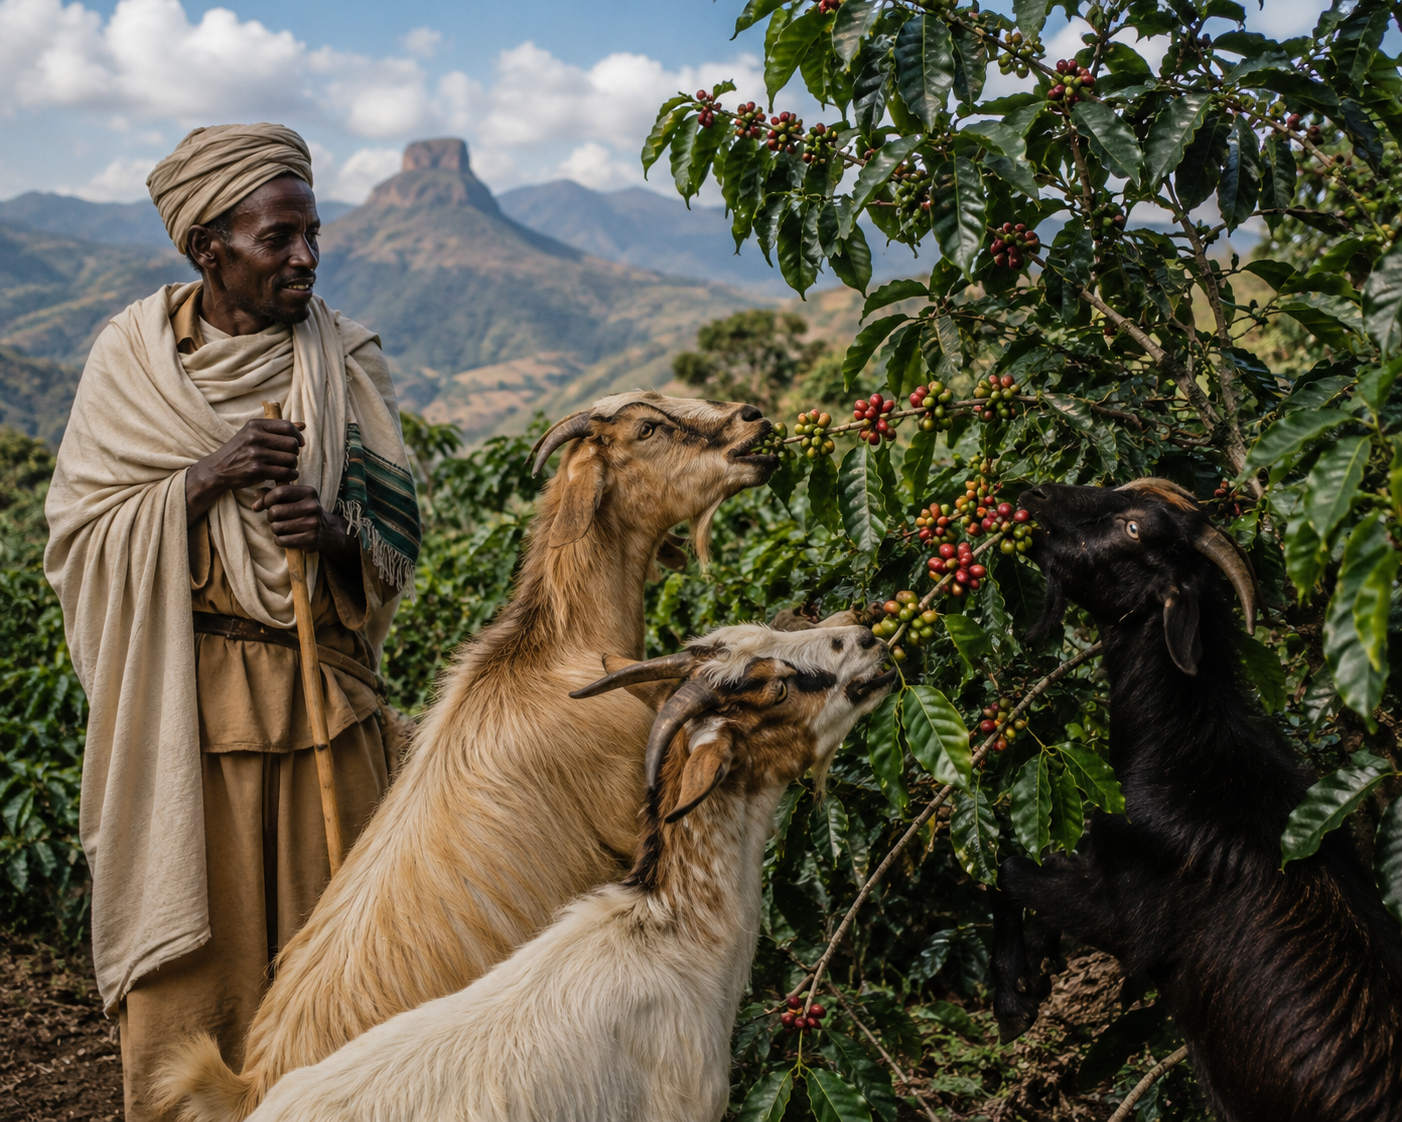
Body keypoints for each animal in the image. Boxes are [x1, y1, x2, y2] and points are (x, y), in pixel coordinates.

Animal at [991, 478, 1402, 1122]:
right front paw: (1036, 967)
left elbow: (1007, 871)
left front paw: (1013, 999)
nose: (1032, 493)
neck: (1185, 754)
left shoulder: (1129, 917)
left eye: (1134, 528)